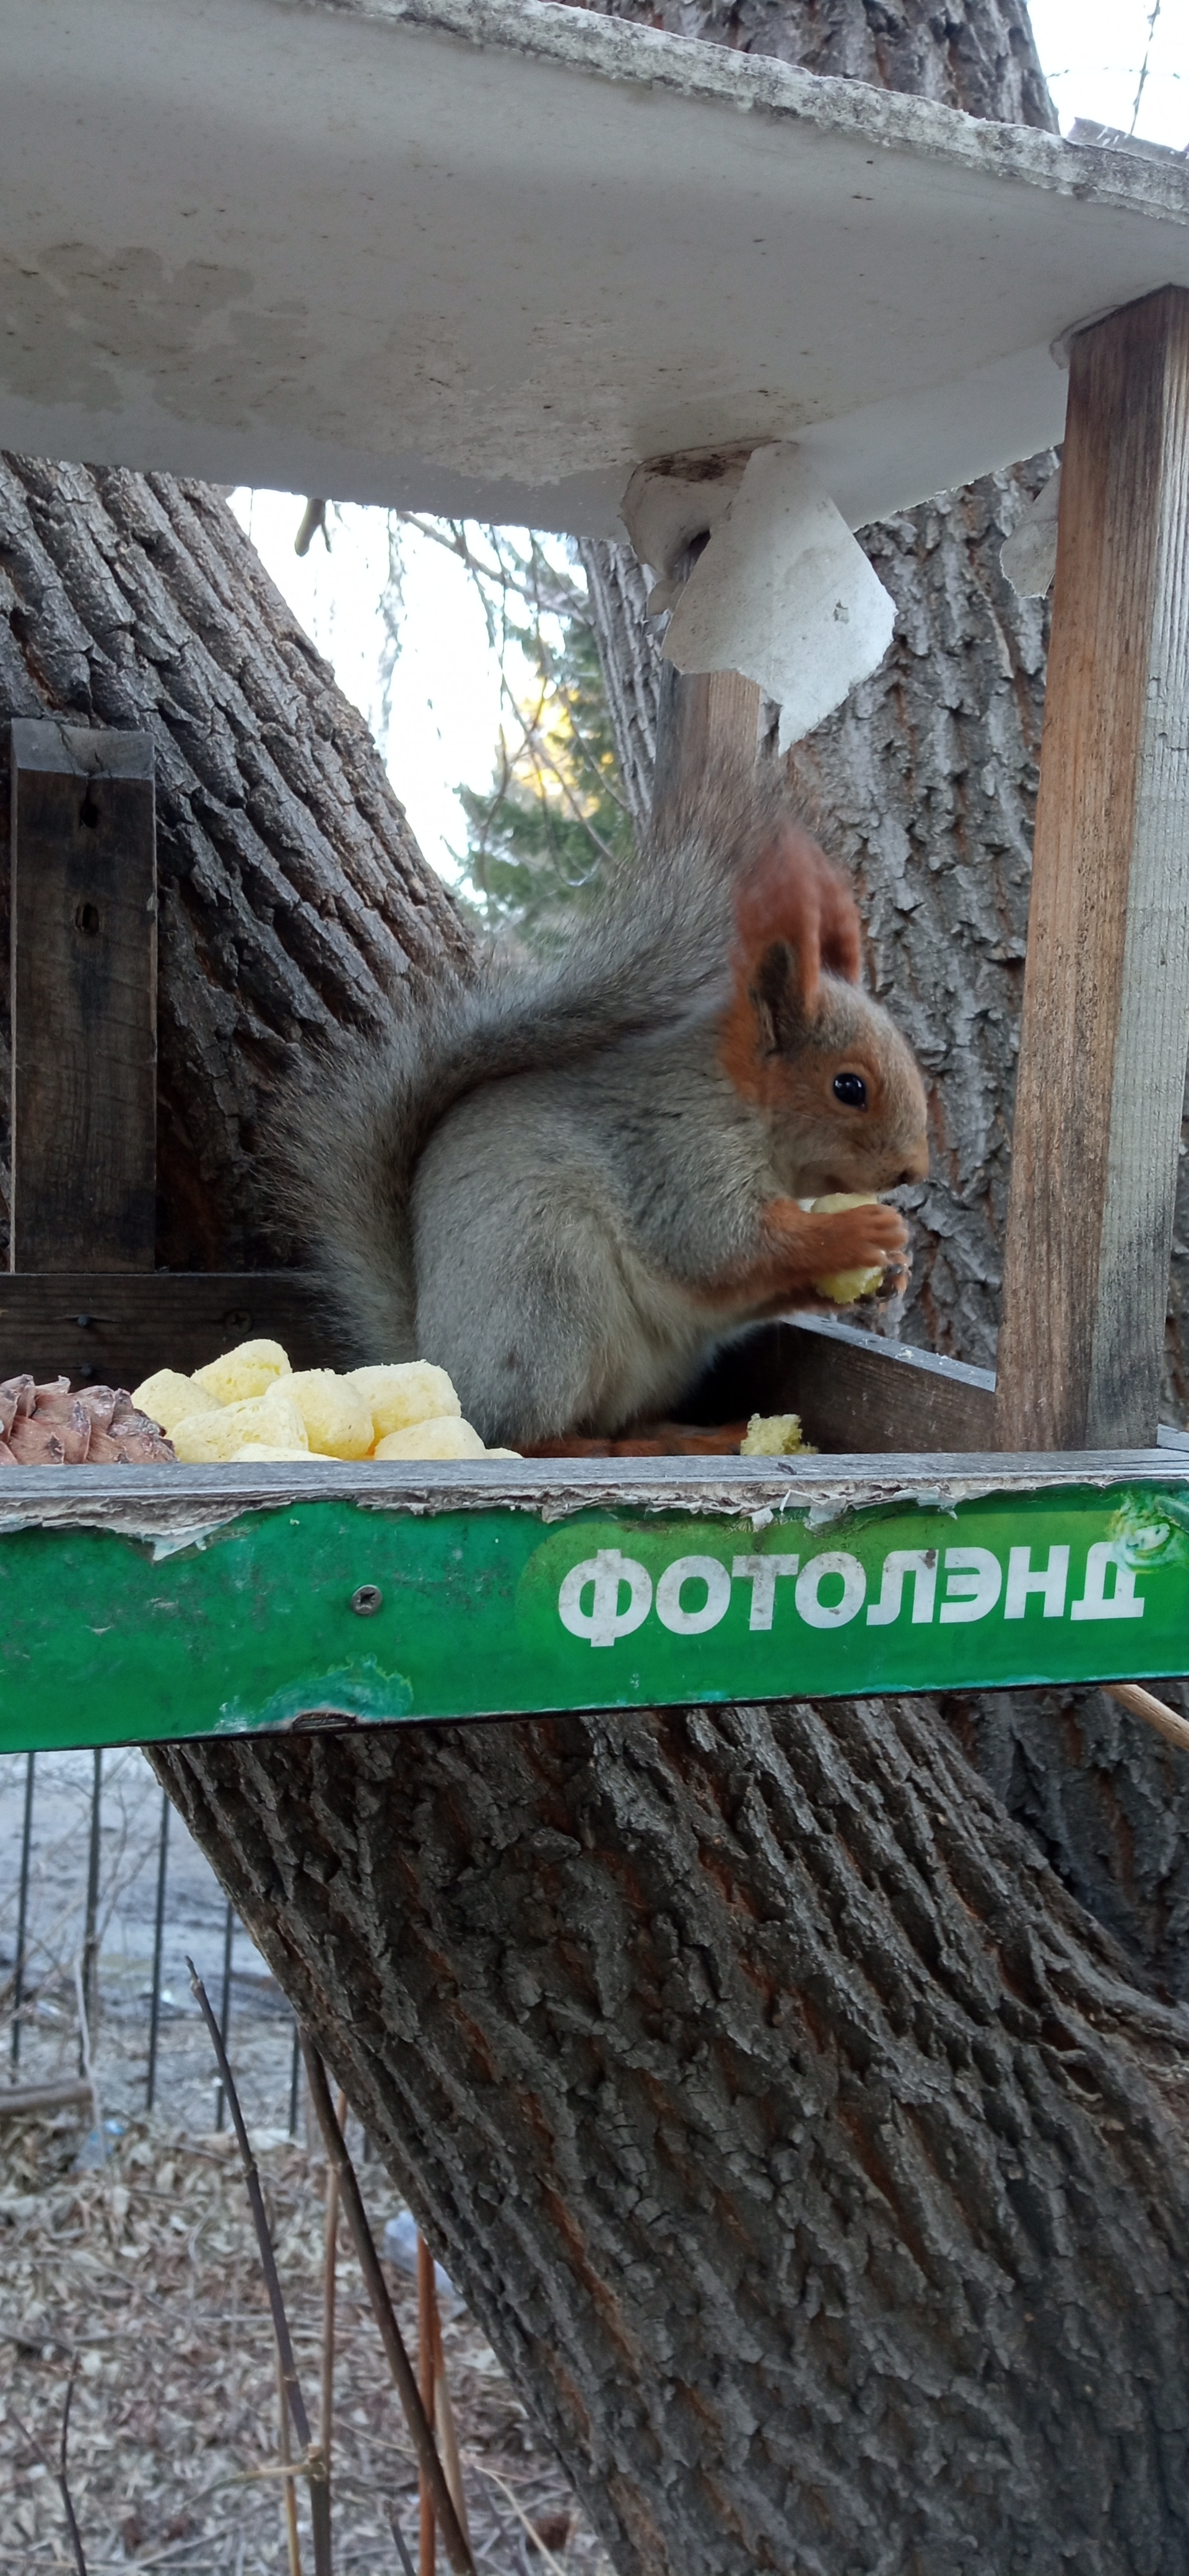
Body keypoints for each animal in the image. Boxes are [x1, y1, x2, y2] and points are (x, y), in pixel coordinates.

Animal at [292, 783, 931, 1453]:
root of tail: (438, 1360)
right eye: (849, 1087)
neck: (744, 1109)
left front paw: (892, 1272)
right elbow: (725, 1247)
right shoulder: (677, 1158)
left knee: (625, 1422)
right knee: (526, 1436)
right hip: (548, 1306)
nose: (913, 1170)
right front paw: (860, 1232)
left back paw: (692, 1437)